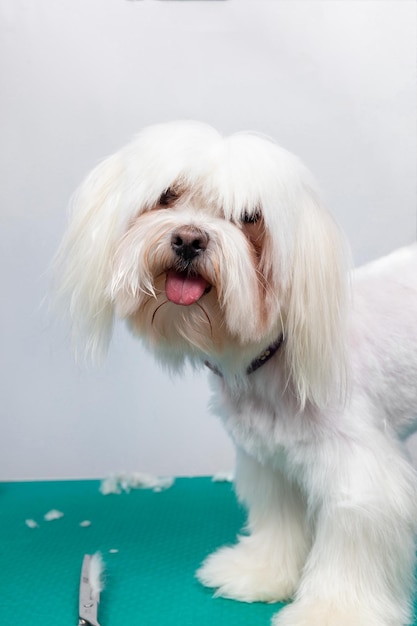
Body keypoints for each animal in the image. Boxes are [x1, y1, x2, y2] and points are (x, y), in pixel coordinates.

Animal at [55, 122, 416, 624]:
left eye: (249, 217)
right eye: (167, 195)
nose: (189, 239)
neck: (269, 360)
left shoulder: (359, 475)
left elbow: (350, 545)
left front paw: (332, 611)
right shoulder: (270, 459)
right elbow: (279, 523)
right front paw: (260, 574)